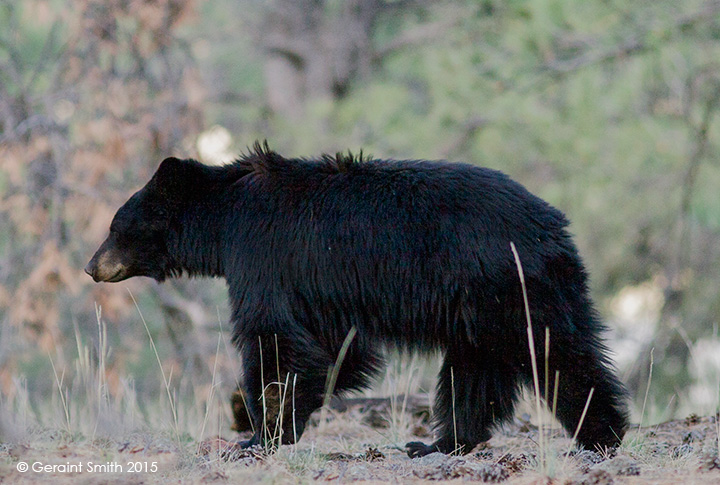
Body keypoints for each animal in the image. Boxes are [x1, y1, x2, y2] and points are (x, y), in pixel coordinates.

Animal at [84, 142, 628, 456]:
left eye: (115, 226)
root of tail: (553, 225)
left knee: (554, 350)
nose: (91, 266)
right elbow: (330, 346)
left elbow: (274, 337)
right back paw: (440, 443)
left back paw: (601, 435)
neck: (223, 218)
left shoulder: (261, 254)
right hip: (482, 305)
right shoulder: (314, 289)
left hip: (504, 284)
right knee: (474, 371)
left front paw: (259, 436)